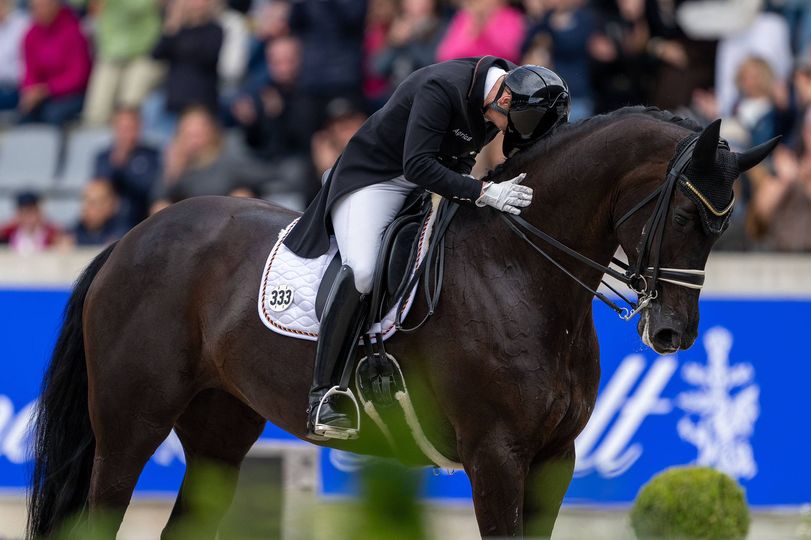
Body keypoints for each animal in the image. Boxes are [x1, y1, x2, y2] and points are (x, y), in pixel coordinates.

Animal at [28, 107, 776, 536]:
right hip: (130, 421)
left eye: (725, 225)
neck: (522, 275)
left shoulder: (553, 459)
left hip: (219, 430)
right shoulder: (495, 453)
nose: (673, 333)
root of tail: (133, 237)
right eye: (688, 215)